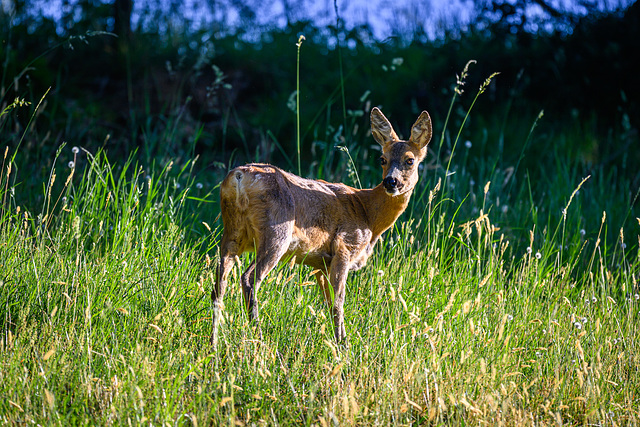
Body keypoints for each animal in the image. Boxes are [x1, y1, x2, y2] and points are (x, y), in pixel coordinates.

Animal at [211, 107, 432, 345]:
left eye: (409, 160)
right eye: (382, 158)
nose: (390, 182)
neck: (368, 215)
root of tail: (239, 177)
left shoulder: (320, 263)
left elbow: (328, 302)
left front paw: (339, 341)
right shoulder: (345, 247)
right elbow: (338, 303)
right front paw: (343, 346)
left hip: (232, 233)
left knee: (219, 285)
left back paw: (214, 344)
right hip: (276, 233)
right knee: (249, 279)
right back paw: (259, 340)